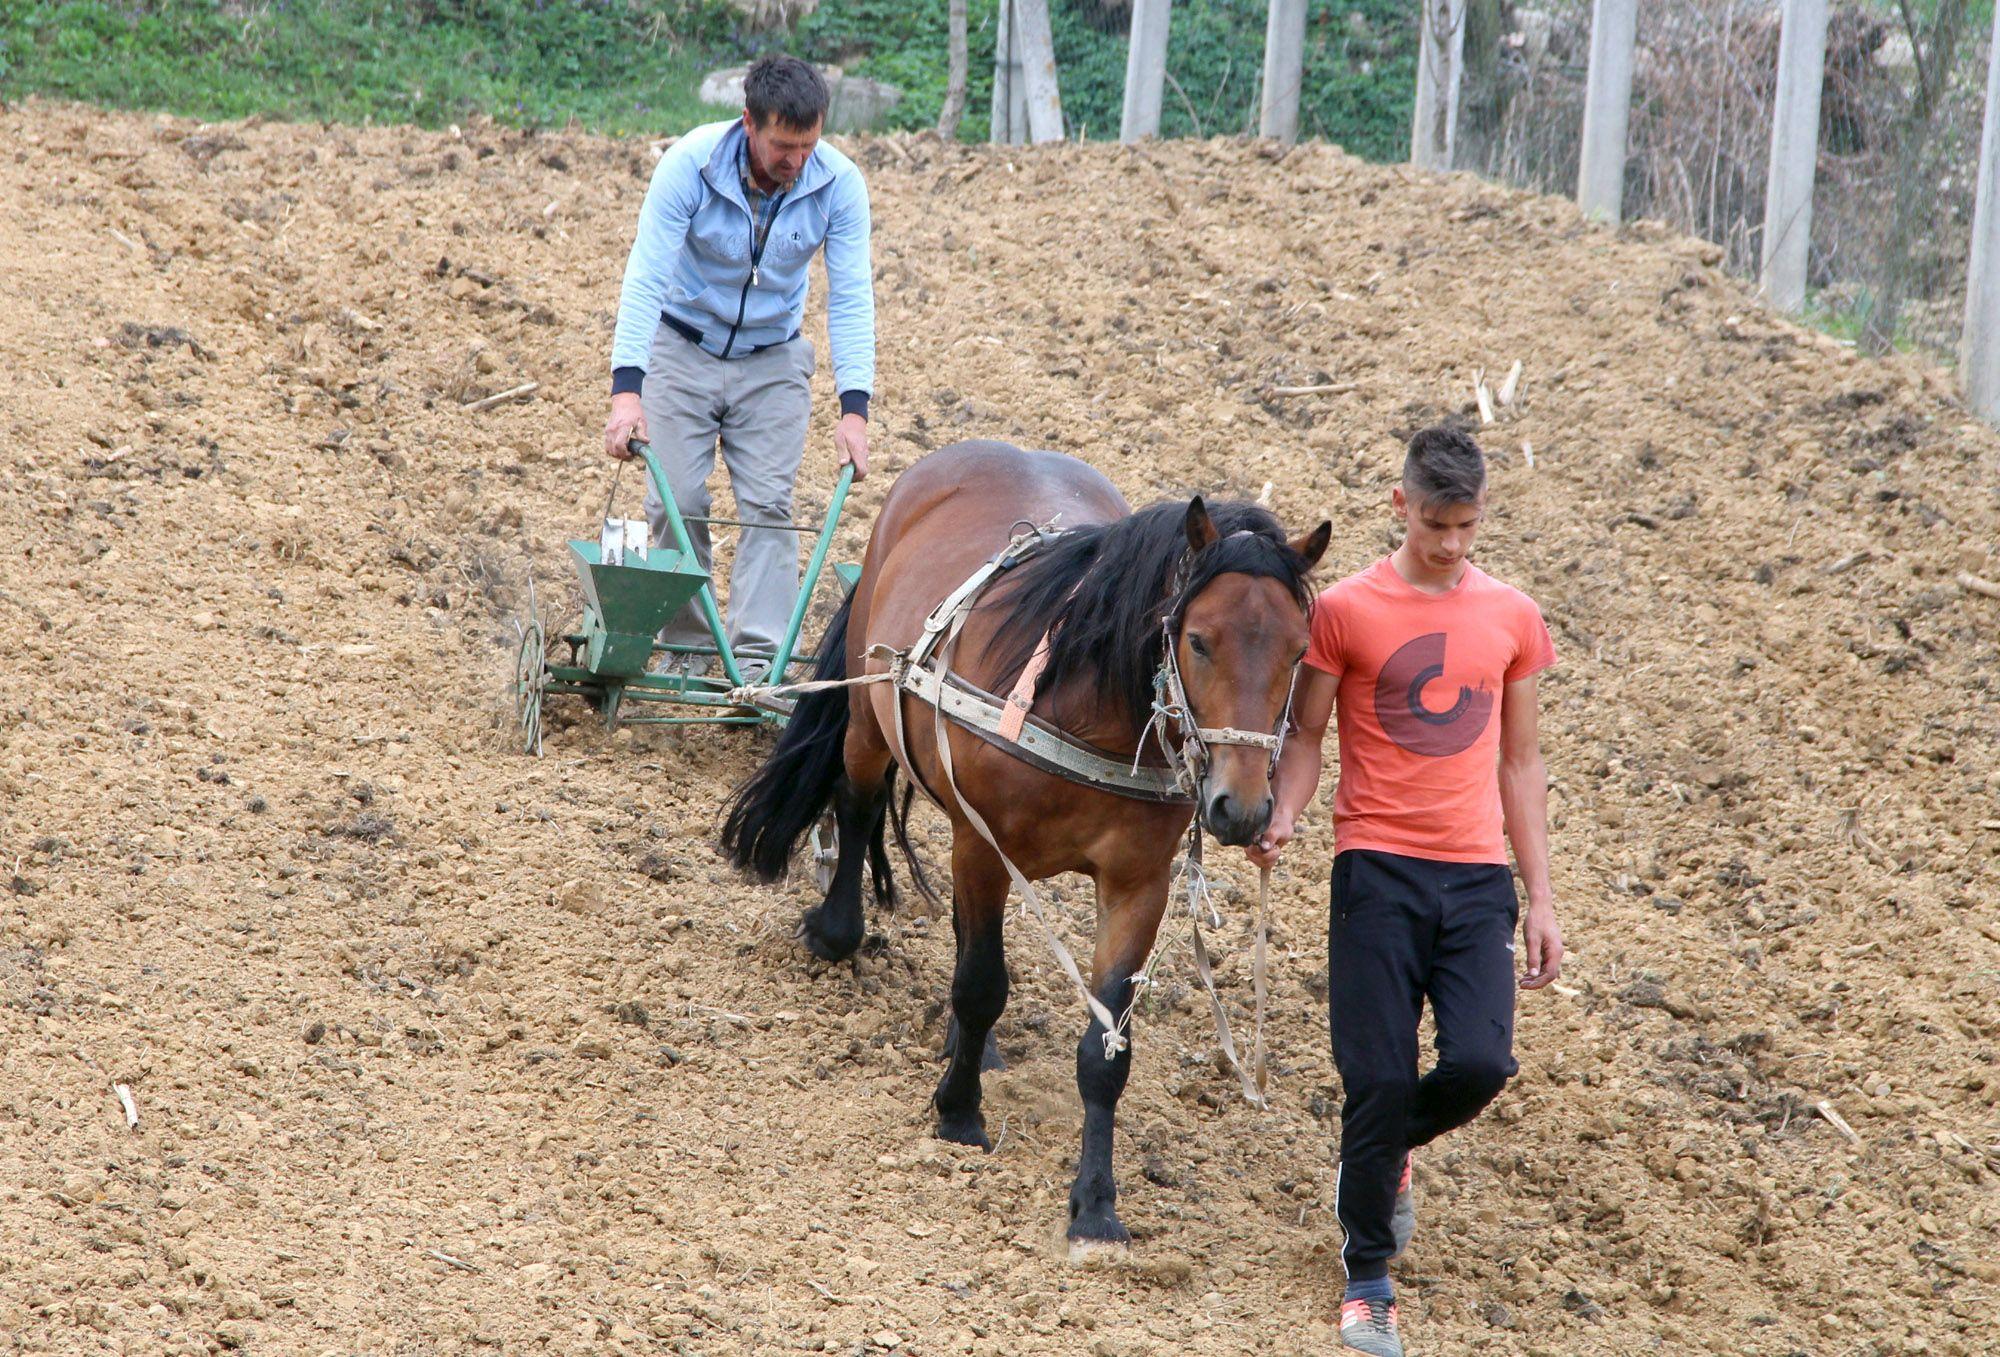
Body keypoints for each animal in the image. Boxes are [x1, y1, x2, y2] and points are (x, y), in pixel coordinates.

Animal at [720, 440, 1328, 1256]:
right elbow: (981, 982)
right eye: (1199, 640)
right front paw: (958, 1112)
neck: (1086, 706)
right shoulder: (982, 846)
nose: (1243, 807)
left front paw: (1095, 1204)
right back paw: (838, 931)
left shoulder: (1137, 885)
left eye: (1298, 652)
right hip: (871, 716)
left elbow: (1105, 1050)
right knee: (858, 801)